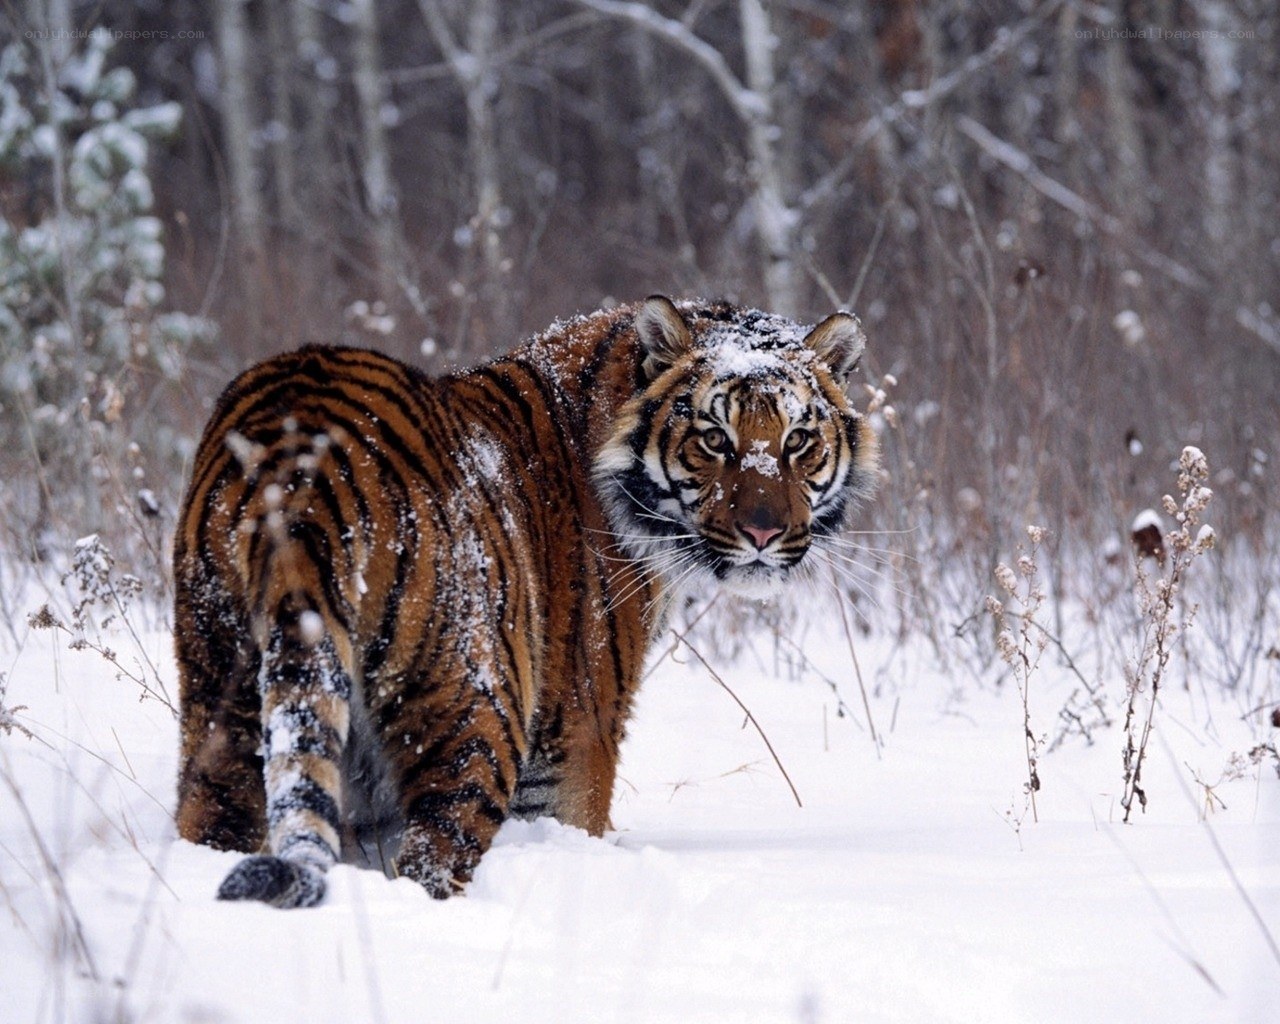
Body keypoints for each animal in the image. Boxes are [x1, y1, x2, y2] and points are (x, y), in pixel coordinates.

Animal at [173, 295, 878, 907]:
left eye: (797, 441)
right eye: (713, 439)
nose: (763, 533)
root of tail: (301, 463)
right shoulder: (578, 732)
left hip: (221, 694)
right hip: (476, 710)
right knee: (433, 857)